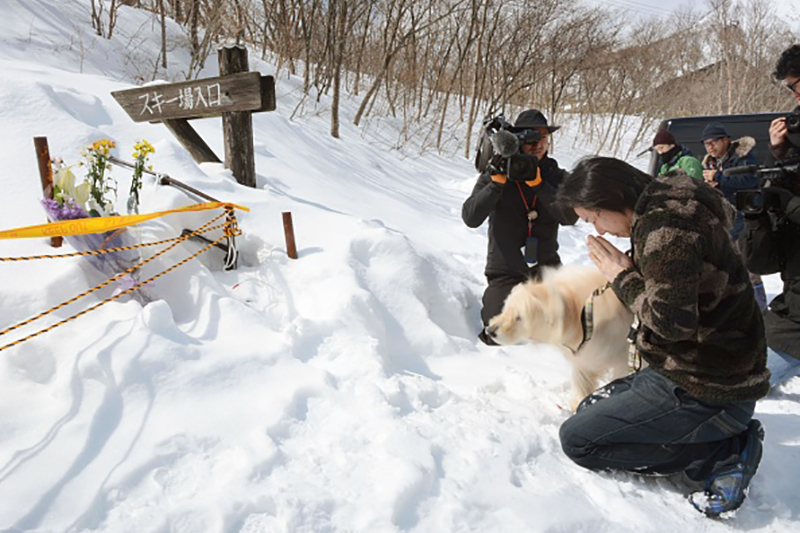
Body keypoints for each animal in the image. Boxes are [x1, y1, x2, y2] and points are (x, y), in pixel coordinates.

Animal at [484, 264, 636, 410]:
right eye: (506, 308)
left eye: (519, 317)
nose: (490, 330)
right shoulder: (586, 356)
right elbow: (582, 379)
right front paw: (578, 402)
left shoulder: (623, 357)